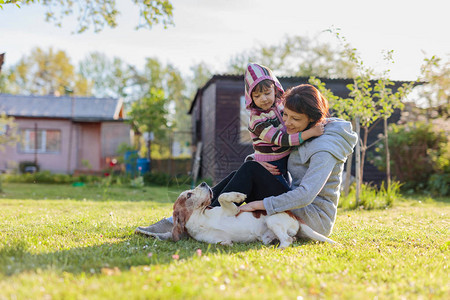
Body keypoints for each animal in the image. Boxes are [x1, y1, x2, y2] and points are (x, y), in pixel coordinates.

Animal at [171, 182, 336, 247]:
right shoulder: (218, 240)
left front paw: (238, 196)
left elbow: (222, 196)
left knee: (287, 239)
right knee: (289, 239)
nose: (203, 183)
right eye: (189, 195)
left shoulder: (232, 210)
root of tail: (295, 217)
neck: (200, 218)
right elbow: (224, 242)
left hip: (272, 220)